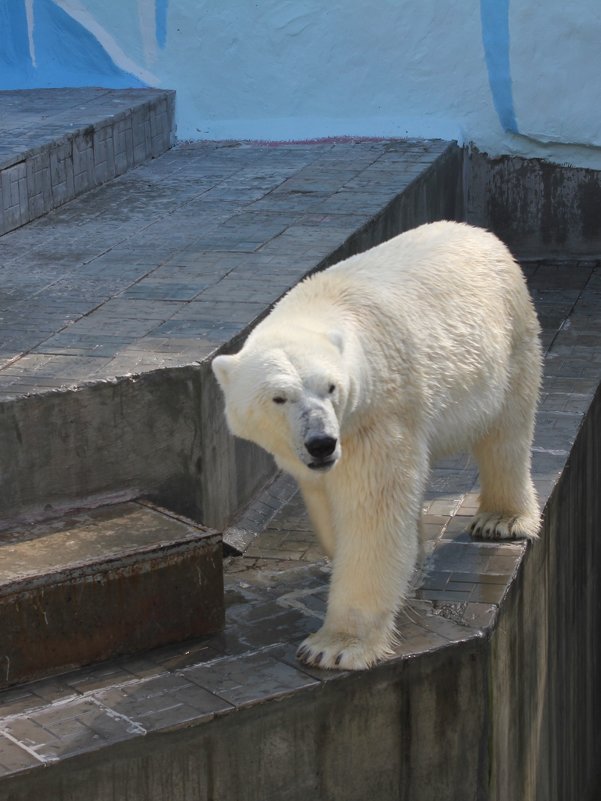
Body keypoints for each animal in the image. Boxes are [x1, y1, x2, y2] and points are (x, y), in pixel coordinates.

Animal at [213, 219, 540, 668]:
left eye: (331, 387)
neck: (320, 304)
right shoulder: (313, 451)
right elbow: (325, 499)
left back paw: (501, 519)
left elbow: (372, 511)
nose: (322, 443)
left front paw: (335, 645)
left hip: (509, 337)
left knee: (507, 431)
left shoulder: (376, 416)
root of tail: (479, 232)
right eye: (279, 397)